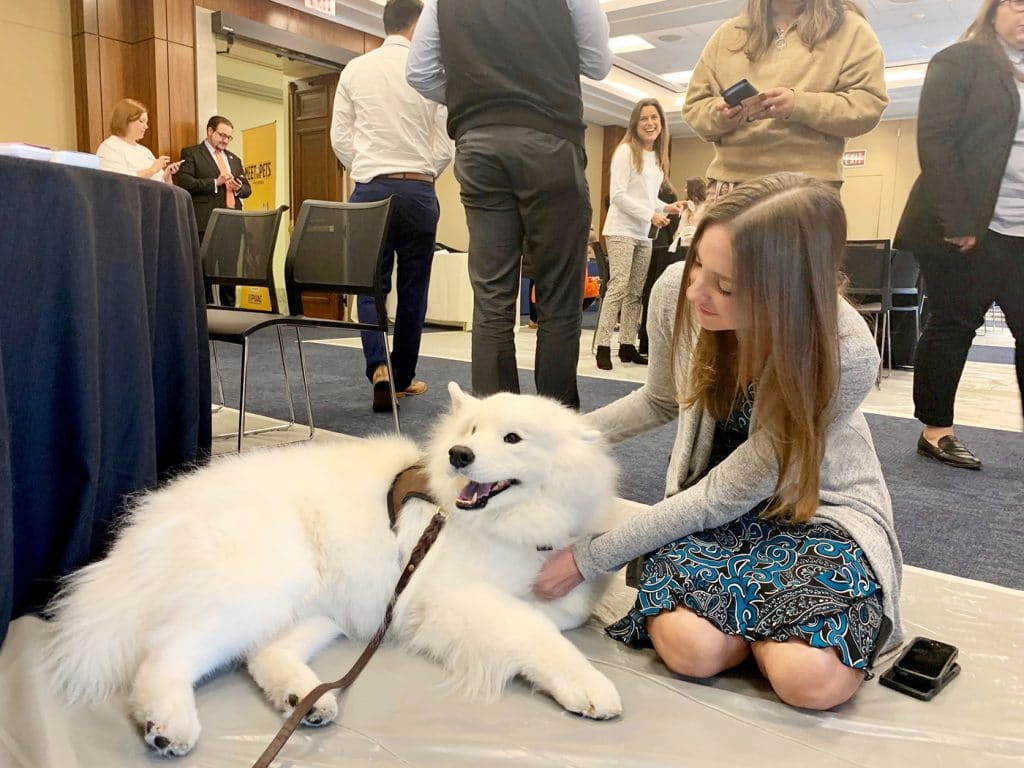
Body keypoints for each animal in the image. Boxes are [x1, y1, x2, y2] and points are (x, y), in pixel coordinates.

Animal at [44, 385, 622, 757]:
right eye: (473, 430)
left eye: (512, 439)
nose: (460, 454)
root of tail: (149, 523)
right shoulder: (451, 597)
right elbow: (534, 632)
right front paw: (590, 686)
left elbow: (560, 613)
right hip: (266, 581)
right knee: (168, 649)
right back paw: (169, 722)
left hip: (325, 607)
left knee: (261, 653)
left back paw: (303, 698)